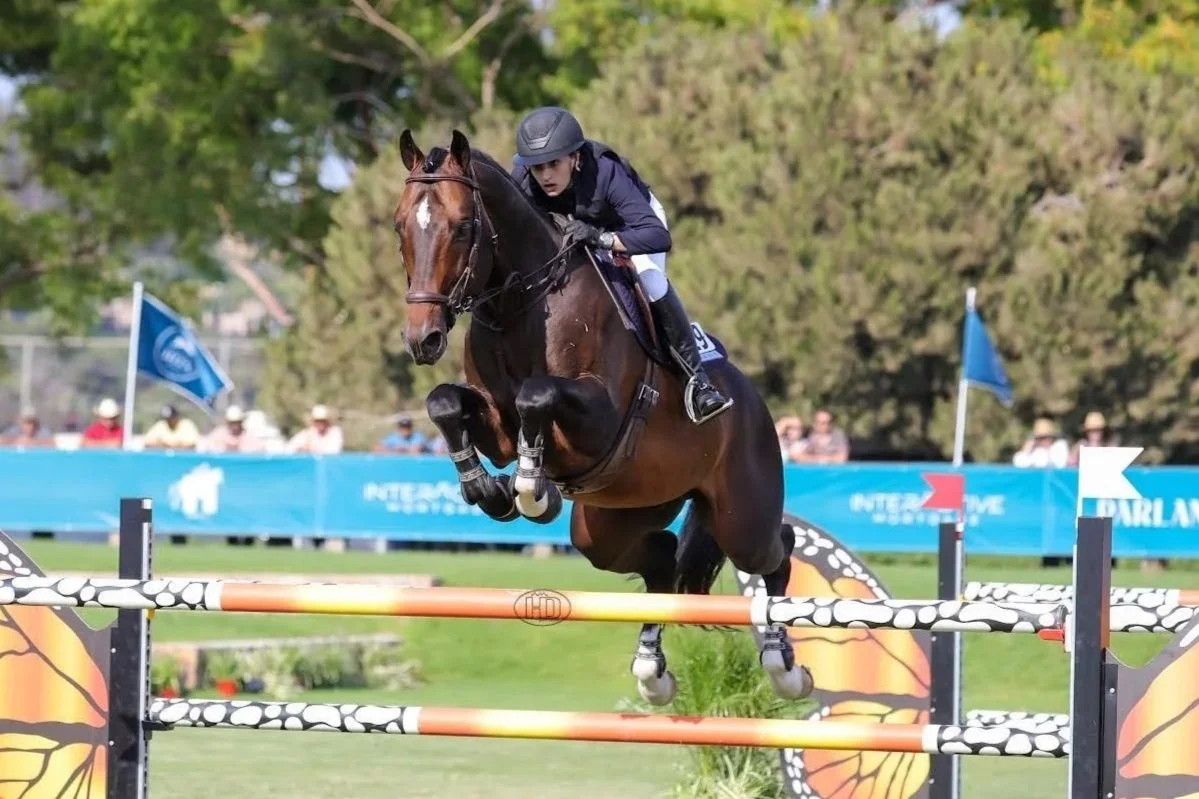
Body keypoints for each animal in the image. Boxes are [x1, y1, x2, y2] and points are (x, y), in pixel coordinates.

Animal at [393, 128, 812, 705]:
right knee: (661, 562)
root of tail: (753, 401)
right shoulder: (495, 422)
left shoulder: (598, 419)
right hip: (615, 521)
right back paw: (653, 673)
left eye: (462, 226)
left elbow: (536, 395)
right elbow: (445, 402)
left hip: (741, 516)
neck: (521, 305)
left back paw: (783, 668)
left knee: (777, 550)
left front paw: (532, 489)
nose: (423, 338)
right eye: (400, 226)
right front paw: (488, 490)